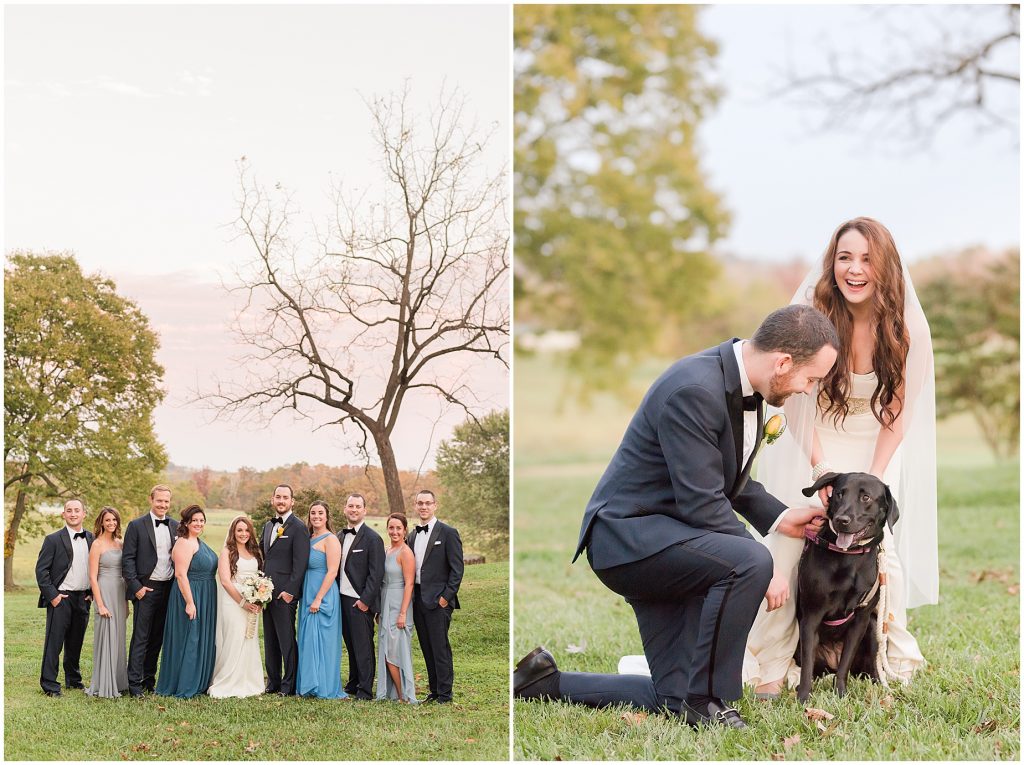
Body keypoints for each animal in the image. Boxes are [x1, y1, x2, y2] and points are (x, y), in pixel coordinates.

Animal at [790, 475, 897, 704]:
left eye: (866, 497)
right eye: (839, 493)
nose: (841, 520)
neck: (849, 558)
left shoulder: (862, 618)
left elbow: (845, 664)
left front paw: (840, 693)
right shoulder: (811, 616)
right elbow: (807, 667)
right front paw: (803, 697)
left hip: (873, 627)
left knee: (871, 668)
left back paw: (879, 685)